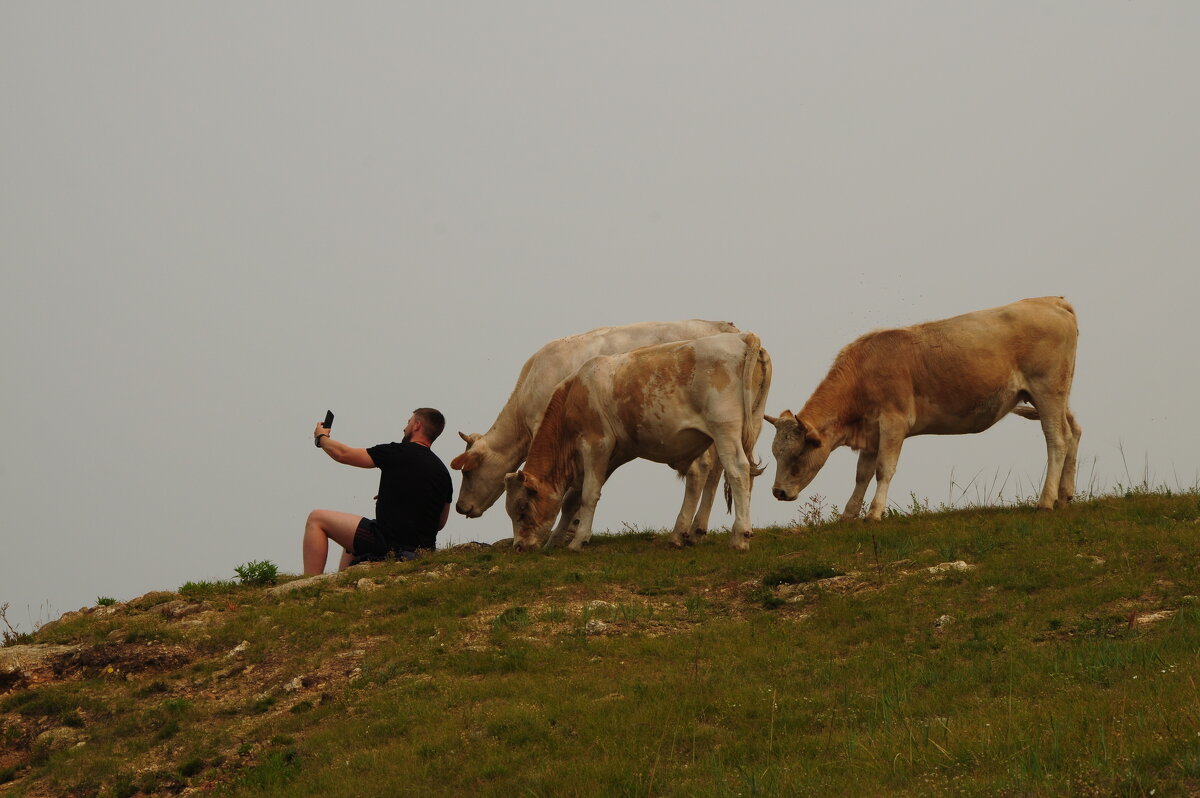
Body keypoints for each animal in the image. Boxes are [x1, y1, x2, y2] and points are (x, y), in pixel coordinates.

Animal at [451, 321, 734, 537]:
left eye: (466, 472)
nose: (460, 507)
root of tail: (722, 326)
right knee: (717, 470)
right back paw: (698, 528)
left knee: (705, 470)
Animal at [504, 328, 768, 547]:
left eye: (522, 508)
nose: (519, 547)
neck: (574, 392)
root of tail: (743, 337)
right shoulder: (615, 452)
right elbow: (575, 496)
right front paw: (557, 540)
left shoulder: (596, 443)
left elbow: (589, 494)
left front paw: (578, 541)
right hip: (748, 426)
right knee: (731, 474)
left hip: (724, 428)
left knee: (737, 470)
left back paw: (739, 536)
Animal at [768, 297, 1089, 516]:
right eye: (776, 453)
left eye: (798, 453)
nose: (778, 491)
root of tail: (1050, 300)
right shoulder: (872, 432)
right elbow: (862, 474)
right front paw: (849, 515)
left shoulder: (894, 422)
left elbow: (884, 469)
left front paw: (874, 513)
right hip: (1055, 395)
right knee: (1074, 431)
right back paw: (1065, 496)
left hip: (1047, 391)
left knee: (1057, 439)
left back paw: (1046, 501)